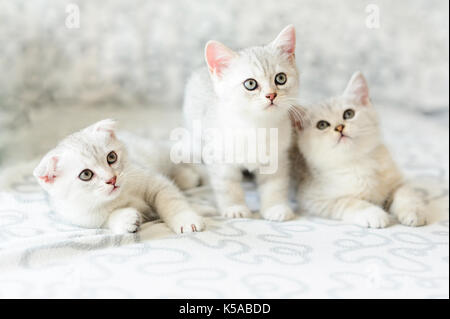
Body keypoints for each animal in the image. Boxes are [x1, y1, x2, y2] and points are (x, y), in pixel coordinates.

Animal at [32, 120, 205, 235]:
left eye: (112, 157)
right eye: (86, 174)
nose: (112, 179)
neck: (118, 196)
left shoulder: (151, 179)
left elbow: (171, 199)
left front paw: (185, 220)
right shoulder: (83, 218)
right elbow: (105, 220)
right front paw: (126, 219)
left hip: (156, 152)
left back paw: (187, 177)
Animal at [181, 25, 300, 222]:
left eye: (281, 78)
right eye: (250, 84)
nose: (271, 95)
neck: (256, 126)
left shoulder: (277, 158)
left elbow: (274, 185)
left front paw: (275, 207)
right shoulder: (221, 160)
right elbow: (227, 186)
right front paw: (235, 208)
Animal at [294, 71, 428, 229]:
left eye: (348, 114)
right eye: (322, 125)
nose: (339, 127)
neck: (359, 161)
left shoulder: (397, 182)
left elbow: (406, 194)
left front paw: (414, 212)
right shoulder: (315, 199)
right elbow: (350, 202)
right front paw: (374, 215)